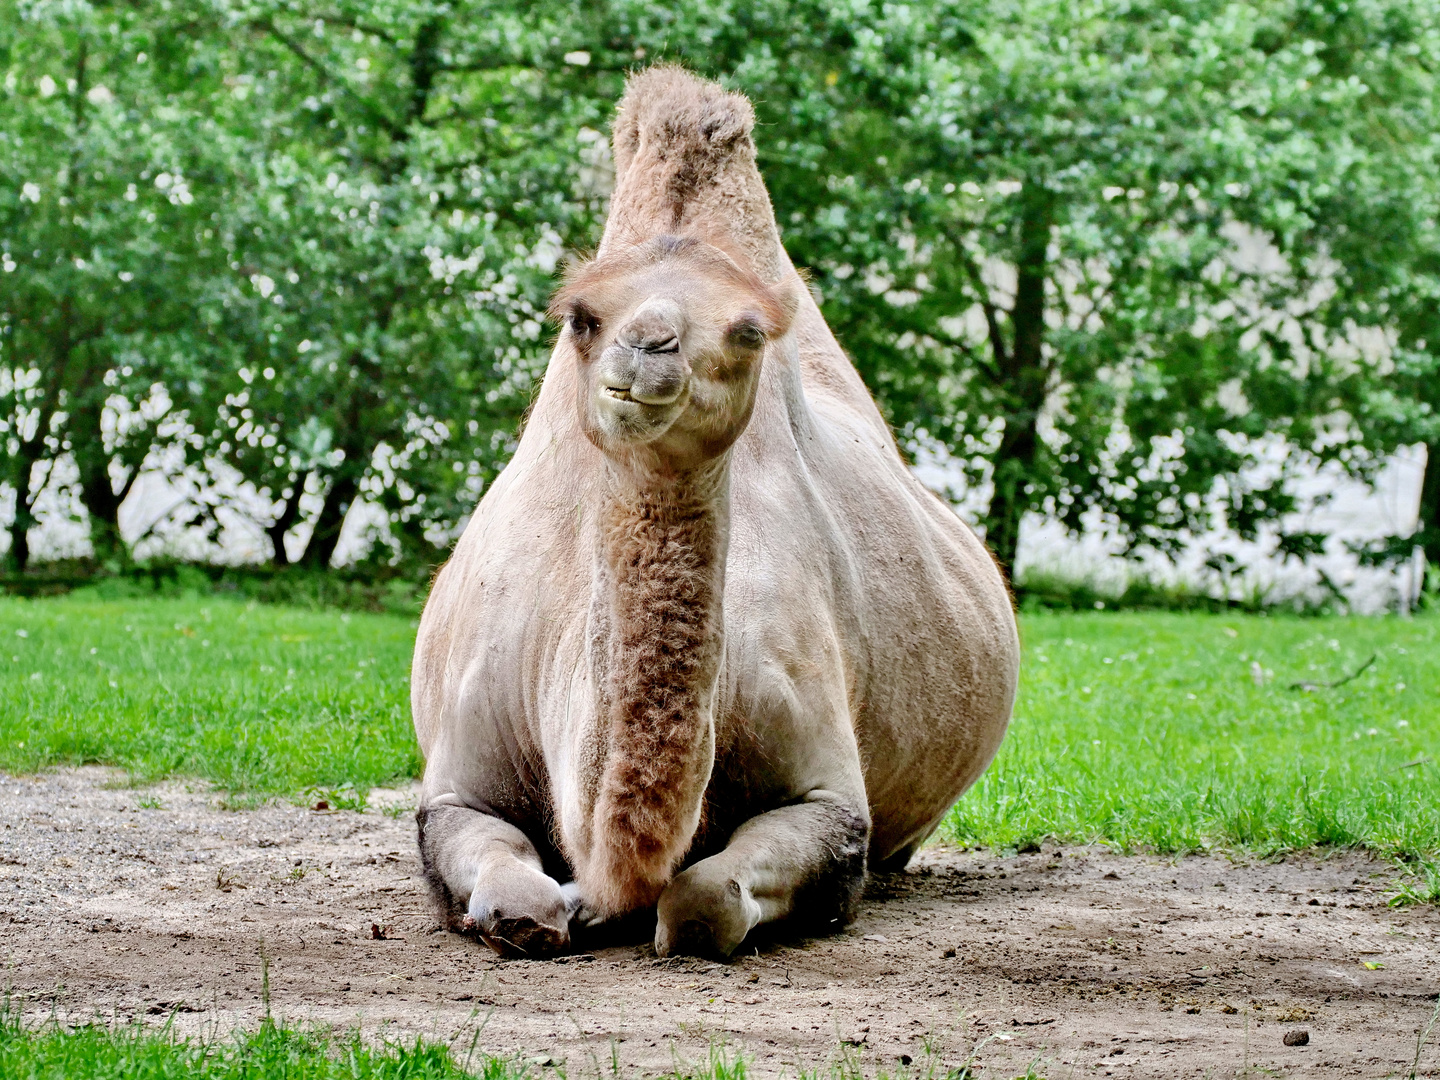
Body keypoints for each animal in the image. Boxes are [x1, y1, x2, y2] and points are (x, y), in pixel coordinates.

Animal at [411, 65, 1019, 961]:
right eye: (582, 317)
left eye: (748, 331)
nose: (649, 349)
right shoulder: (457, 783)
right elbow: (514, 899)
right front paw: (559, 907)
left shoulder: (829, 795)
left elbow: (707, 901)